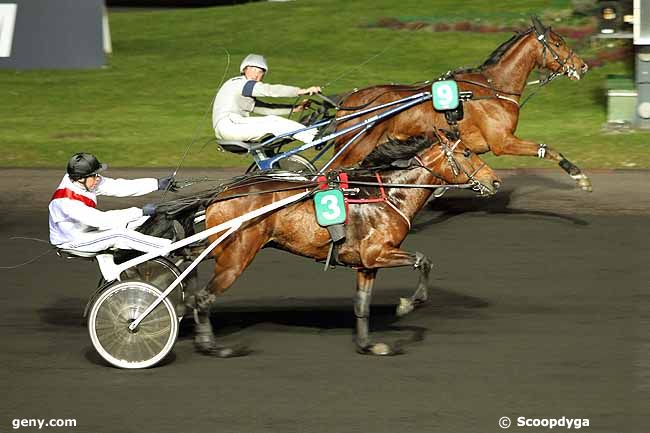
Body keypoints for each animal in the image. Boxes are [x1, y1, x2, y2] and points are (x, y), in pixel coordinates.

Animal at [185, 133, 498, 356]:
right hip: (237, 255)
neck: (389, 195)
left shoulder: (367, 264)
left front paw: (368, 345)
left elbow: (362, 304)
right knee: (204, 297)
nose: (495, 181)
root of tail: (220, 194)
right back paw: (213, 346)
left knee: (191, 263)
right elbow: (423, 260)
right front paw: (407, 304)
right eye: (467, 153)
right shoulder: (378, 253)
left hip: (220, 249)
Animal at [332, 16, 588, 190]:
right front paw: (580, 176)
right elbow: (548, 149)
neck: (493, 88)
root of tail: (348, 101)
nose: (582, 66)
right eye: (558, 43)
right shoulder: (503, 142)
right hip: (356, 147)